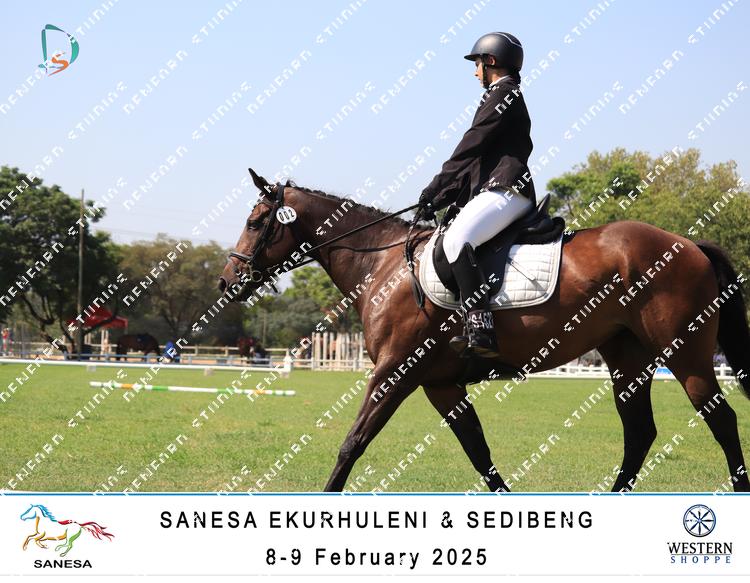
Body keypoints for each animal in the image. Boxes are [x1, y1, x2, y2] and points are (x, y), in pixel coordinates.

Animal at [218, 169, 750, 493]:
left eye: (255, 222)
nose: (227, 283)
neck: (383, 266)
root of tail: (690, 244)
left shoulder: (395, 372)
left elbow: (353, 442)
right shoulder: (440, 383)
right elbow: (478, 449)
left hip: (686, 355)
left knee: (721, 420)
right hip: (626, 357)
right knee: (639, 432)